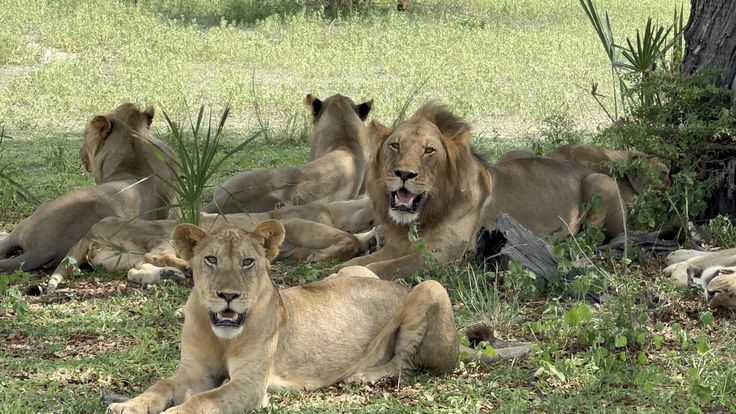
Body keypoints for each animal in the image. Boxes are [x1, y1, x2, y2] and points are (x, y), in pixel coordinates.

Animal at [46, 197, 376, 291]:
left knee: (138, 268)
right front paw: (323, 256)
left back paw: (172, 276)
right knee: (159, 255)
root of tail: (91, 229)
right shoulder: (293, 222)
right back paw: (188, 270)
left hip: (121, 256)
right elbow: (349, 240)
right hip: (162, 232)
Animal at [107, 222, 528, 414]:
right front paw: (129, 405)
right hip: (350, 271)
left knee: (405, 363)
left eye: (248, 262)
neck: (220, 334)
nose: (229, 295)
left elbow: (203, 401)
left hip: (430, 286)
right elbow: (161, 385)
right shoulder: (192, 372)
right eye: (210, 260)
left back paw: (365, 375)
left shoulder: (250, 385)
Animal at [335, 103, 627, 280]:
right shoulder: (397, 245)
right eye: (395, 145)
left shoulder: (441, 255)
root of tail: (580, 166)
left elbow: (386, 267)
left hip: (599, 182)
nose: (404, 174)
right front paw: (339, 270)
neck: (422, 216)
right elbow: (360, 262)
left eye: (429, 151)